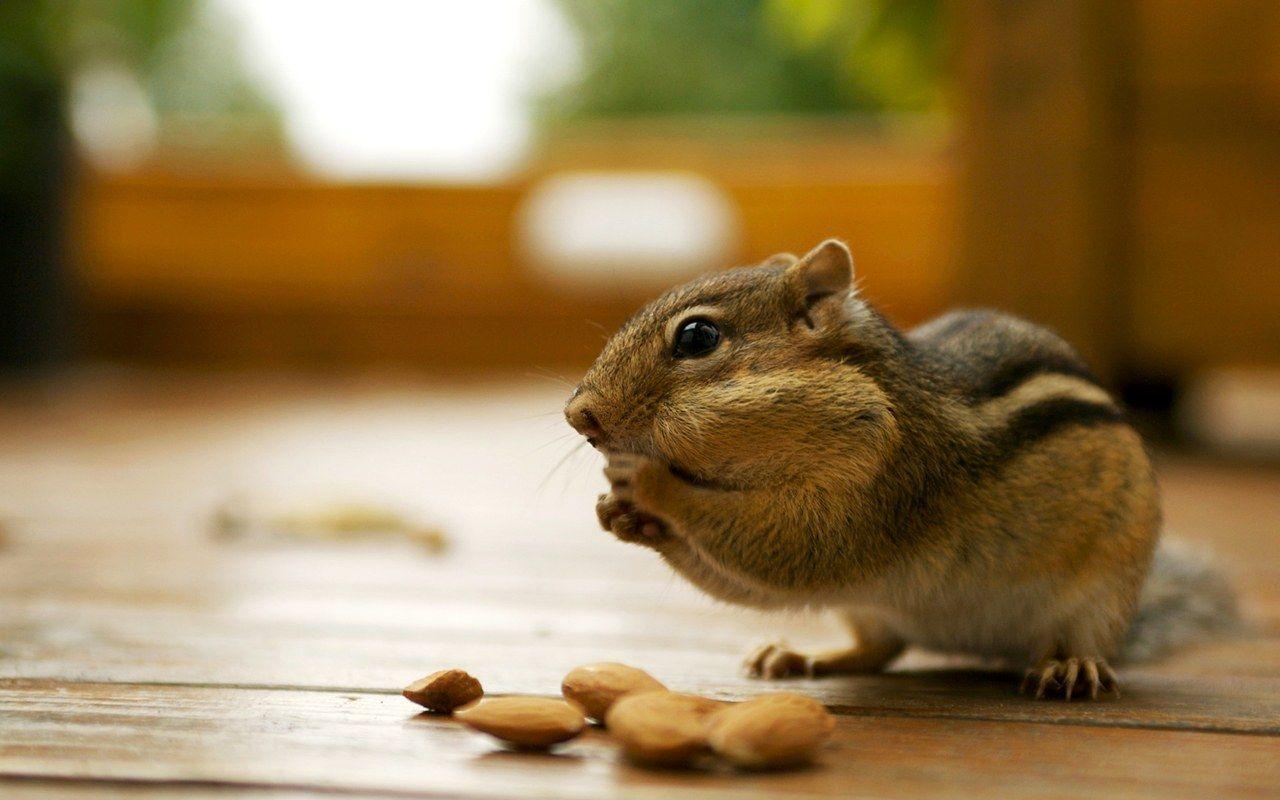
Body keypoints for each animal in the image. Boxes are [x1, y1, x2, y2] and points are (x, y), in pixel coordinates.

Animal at [565, 239, 1238, 701]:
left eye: (698, 338)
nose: (579, 416)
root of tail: (987, 649)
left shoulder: (877, 489)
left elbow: (786, 549)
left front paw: (648, 485)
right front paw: (619, 516)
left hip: (1104, 591)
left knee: (1090, 641)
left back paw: (1074, 665)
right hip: (870, 607)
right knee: (879, 650)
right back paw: (803, 657)